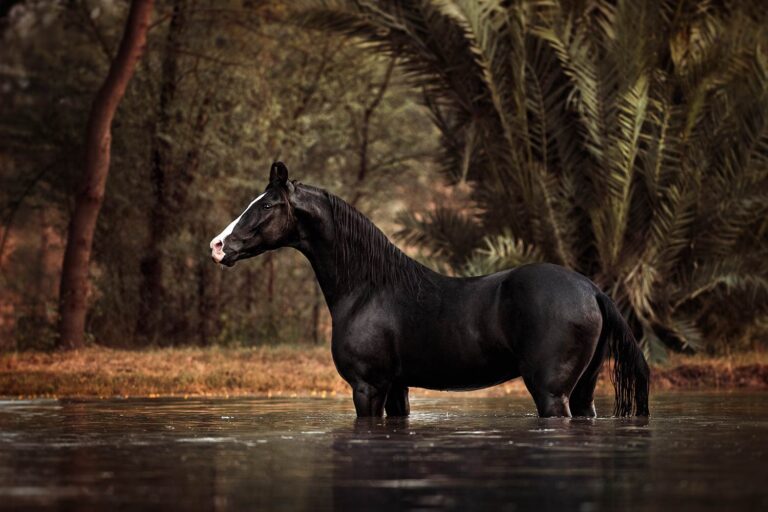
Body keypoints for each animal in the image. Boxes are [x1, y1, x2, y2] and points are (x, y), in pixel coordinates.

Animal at [209, 162, 650, 418]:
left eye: (266, 206)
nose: (217, 245)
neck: (368, 289)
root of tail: (591, 289)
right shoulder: (395, 388)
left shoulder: (367, 387)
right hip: (584, 390)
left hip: (551, 393)